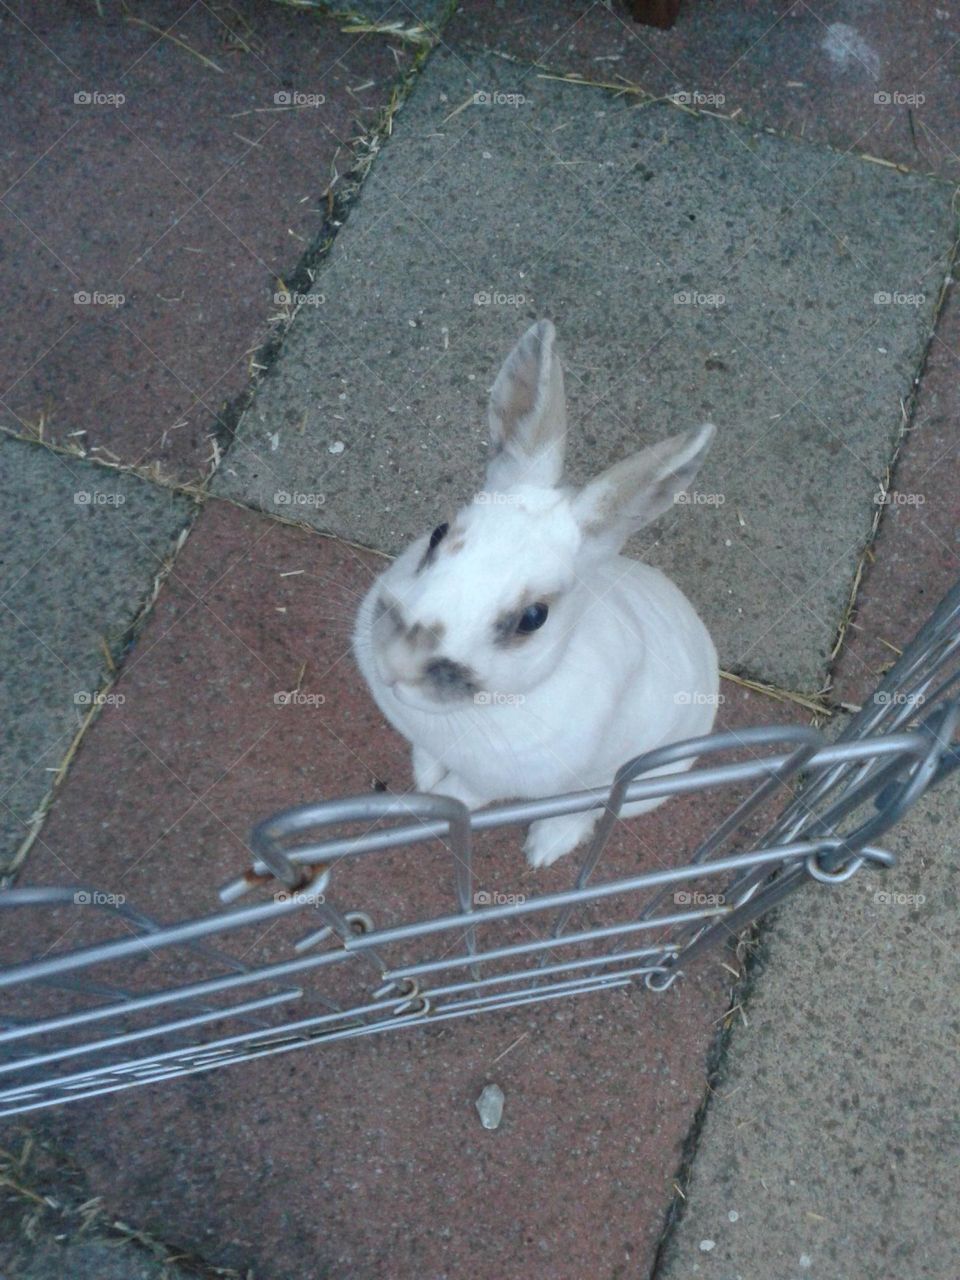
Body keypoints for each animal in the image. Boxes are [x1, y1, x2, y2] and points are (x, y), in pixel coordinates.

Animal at [353, 319, 719, 867]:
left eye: (533, 617)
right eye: (438, 534)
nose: (399, 664)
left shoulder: (494, 781)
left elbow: (462, 798)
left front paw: (437, 807)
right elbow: (429, 761)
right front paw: (423, 776)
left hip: (638, 784)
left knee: (592, 809)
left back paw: (545, 847)